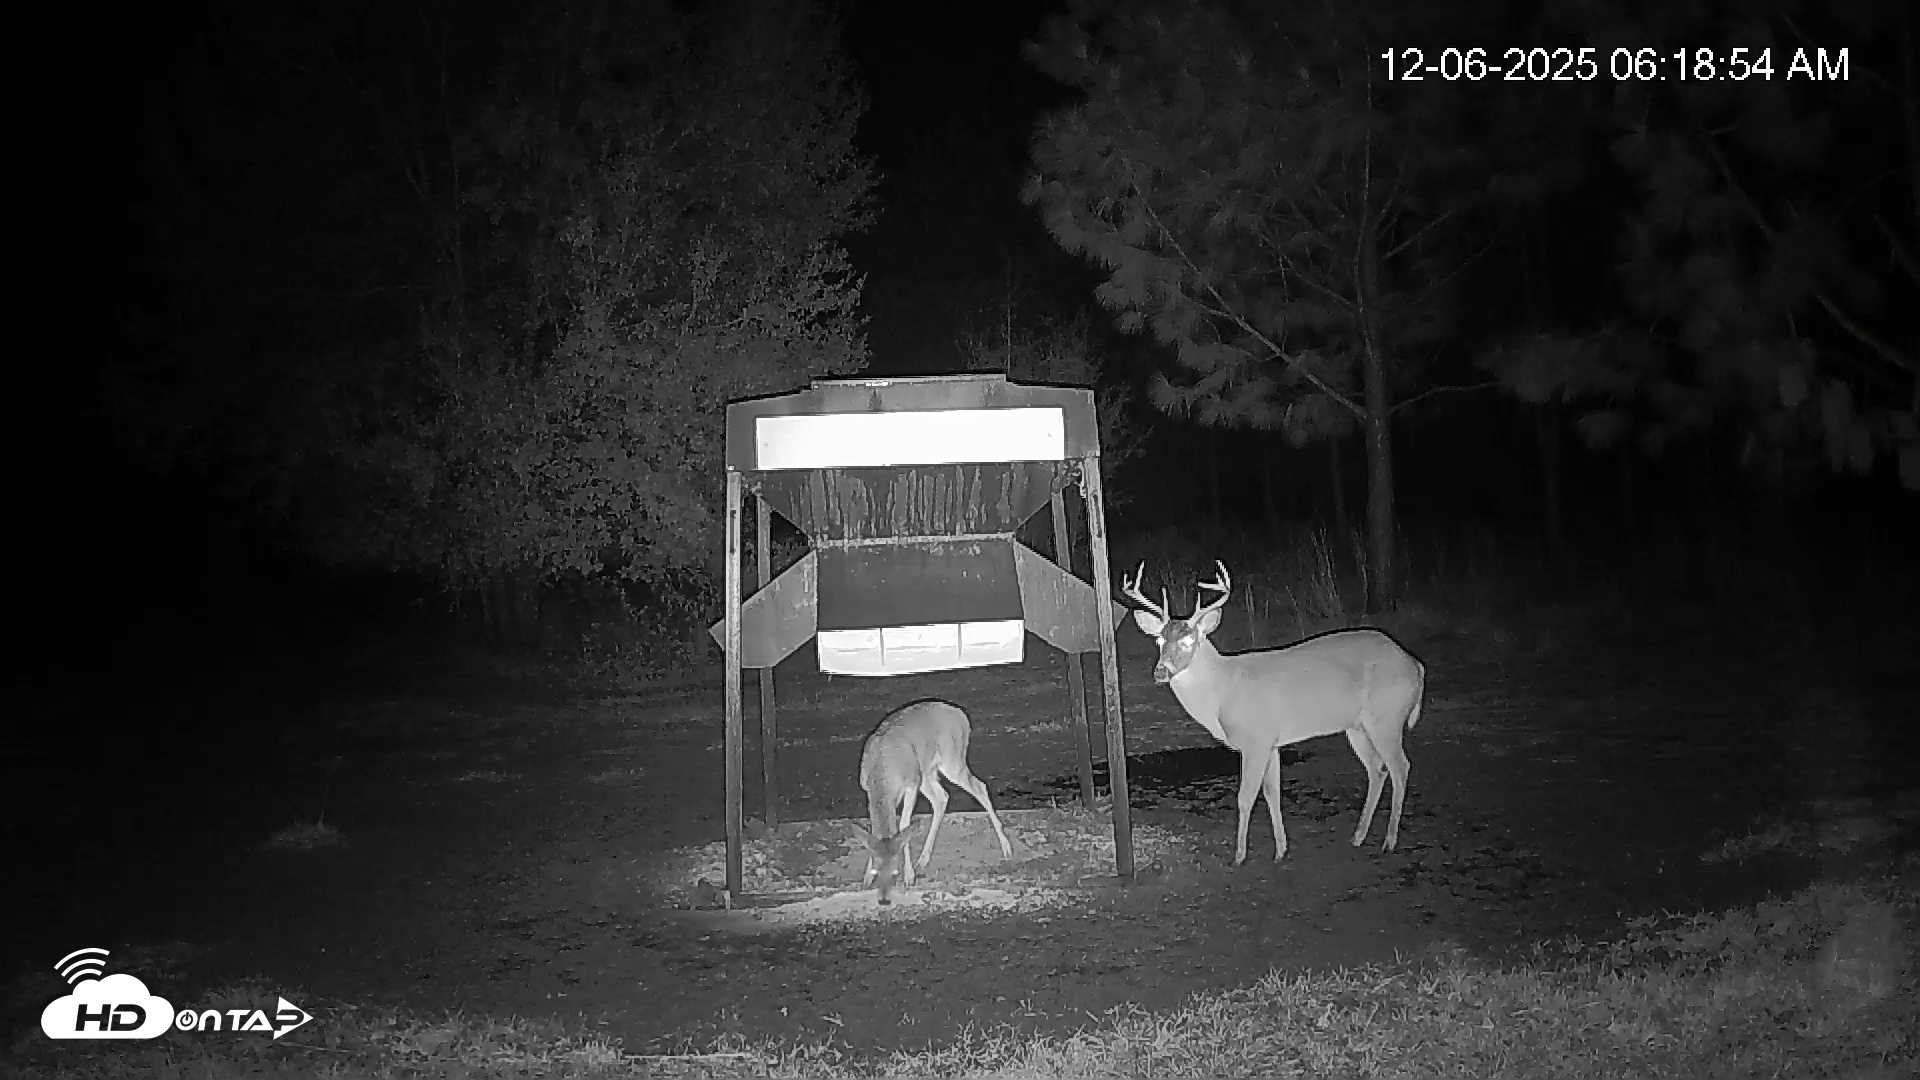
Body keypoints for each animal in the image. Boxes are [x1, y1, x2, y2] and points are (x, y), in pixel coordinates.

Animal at [855, 699, 1014, 905]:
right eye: (877, 870)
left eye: (895, 872)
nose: (883, 899)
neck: (882, 776)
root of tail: (961, 715)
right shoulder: (868, 790)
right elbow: (874, 831)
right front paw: (866, 878)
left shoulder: (912, 783)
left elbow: (904, 824)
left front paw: (909, 877)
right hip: (928, 771)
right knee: (942, 797)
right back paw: (923, 858)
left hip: (951, 760)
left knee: (979, 787)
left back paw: (1007, 849)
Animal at [1120, 560, 1425, 866]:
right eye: (1159, 642)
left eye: (1188, 641)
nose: (1161, 672)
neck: (1225, 689)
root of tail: (1415, 665)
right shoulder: (1272, 742)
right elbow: (1271, 793)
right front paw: (1280, 850)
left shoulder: (1256, 739)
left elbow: (1245, 797)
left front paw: (1239, 857)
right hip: (1357, 725)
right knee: (1378, 769)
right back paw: (1358, 837)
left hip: (1386, 717)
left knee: (1401, 767)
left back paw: (1389, 841)